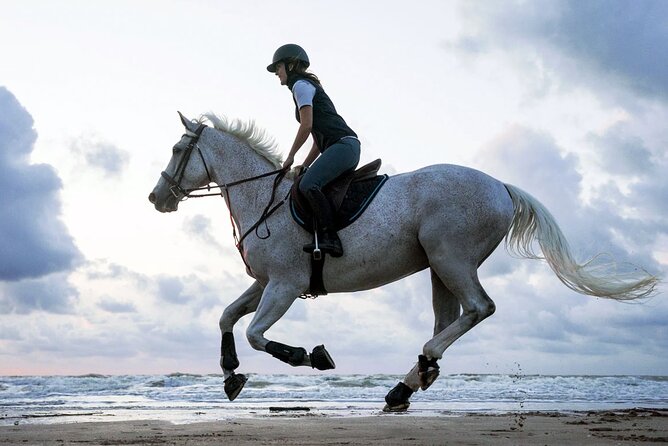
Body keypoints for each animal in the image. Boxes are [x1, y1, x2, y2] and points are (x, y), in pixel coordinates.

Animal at [149, 112, 658, 411]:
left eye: (176, 150)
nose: (156, 198)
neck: (262, 198)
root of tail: (501, 186)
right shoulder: (265, 283)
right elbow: (227, 316)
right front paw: (231, 374)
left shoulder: (285, 285)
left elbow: (257, 334)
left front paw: (309, 356)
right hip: (438, 266)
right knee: (450, 319)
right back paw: (413, 379)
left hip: (451, 257)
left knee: (478, 309)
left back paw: (410, 378)